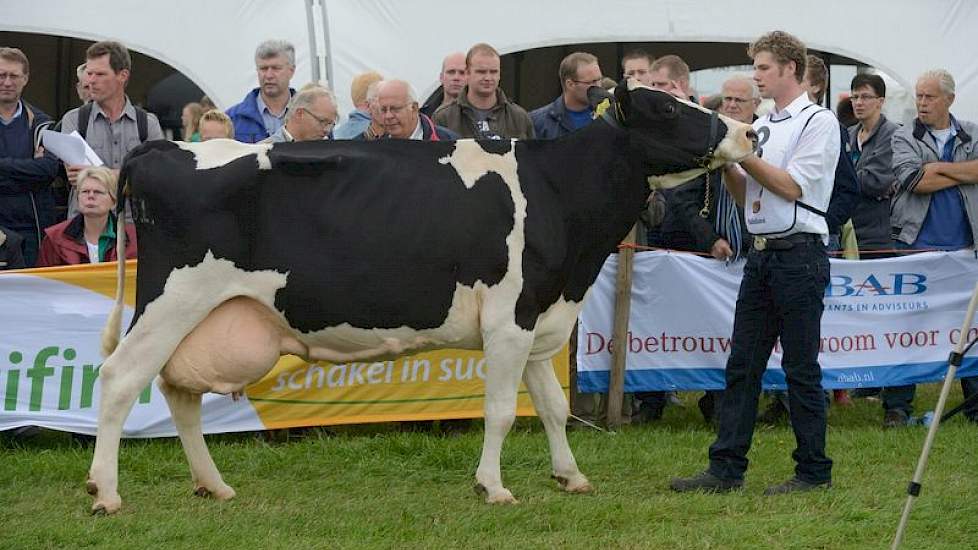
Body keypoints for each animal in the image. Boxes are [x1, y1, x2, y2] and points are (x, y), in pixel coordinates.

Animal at [86, 80, 756, 516]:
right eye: (667, 106)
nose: (749, 130)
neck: (559, 194)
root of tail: (164, 147)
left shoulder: (539, 315)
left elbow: (553, 407)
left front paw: (571, 476)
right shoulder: (509, 319)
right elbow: (503, 411)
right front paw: (493, 486)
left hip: (202, 315)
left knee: (177, 390)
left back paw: (213, 485)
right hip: (173, 300)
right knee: (120, 379)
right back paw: (105, 493)